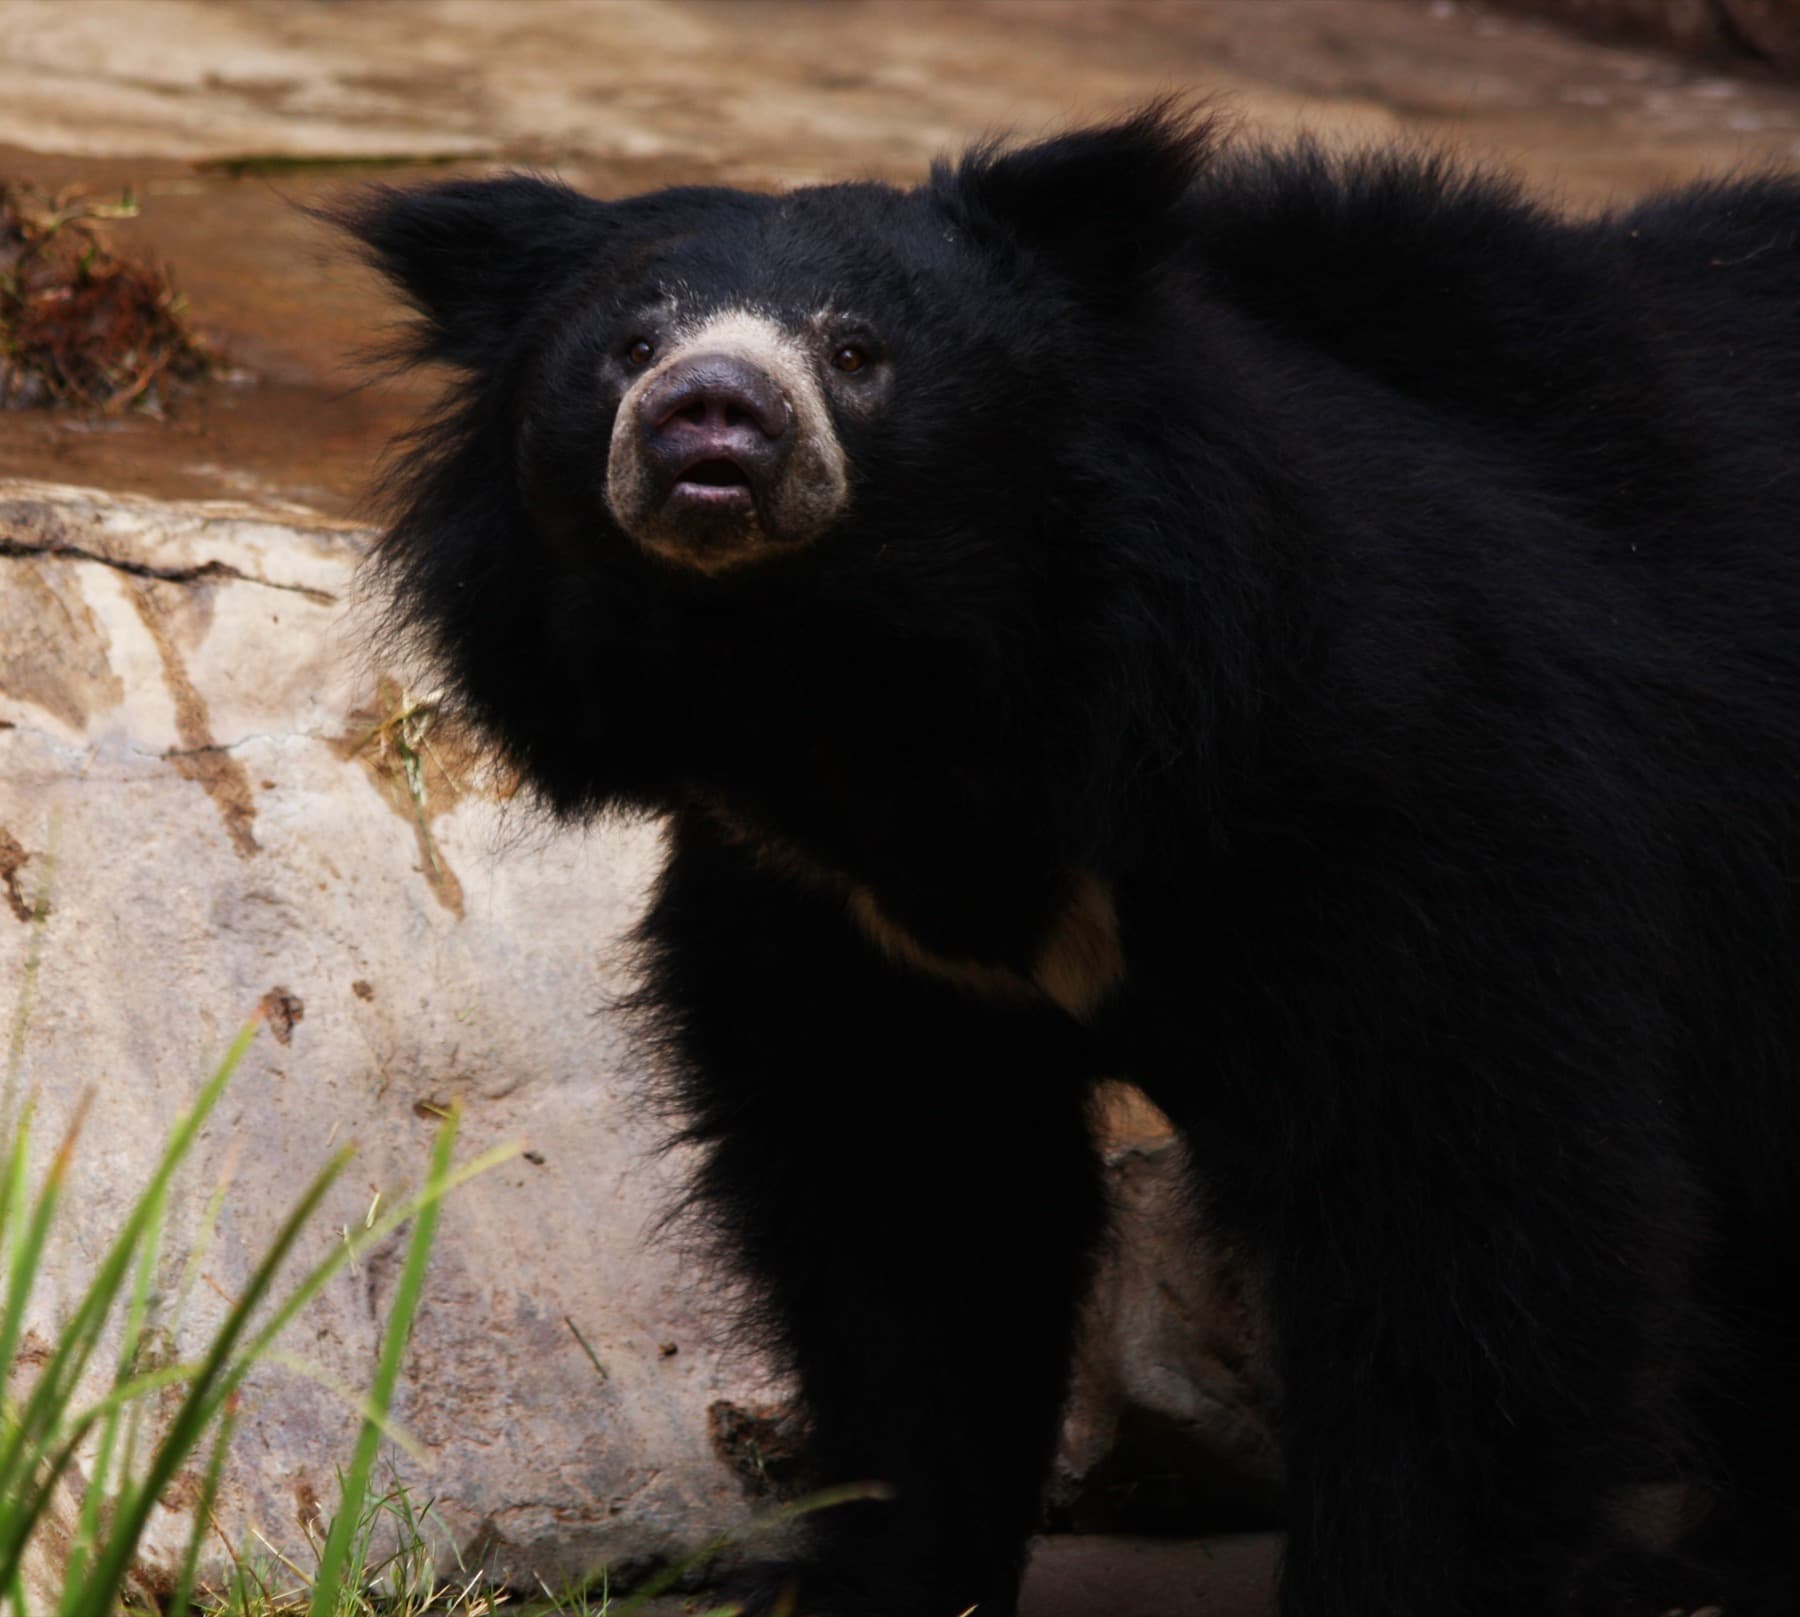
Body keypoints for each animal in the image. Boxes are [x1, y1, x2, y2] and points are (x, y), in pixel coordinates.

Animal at [346, 104, 1800, 1617]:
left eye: (856, 349)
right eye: (628, 346)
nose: (711, 416)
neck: (862, 701)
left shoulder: (1416, 798)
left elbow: (1460, 1207)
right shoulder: (832, 912)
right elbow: (908, 1220)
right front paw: (890, 1573)